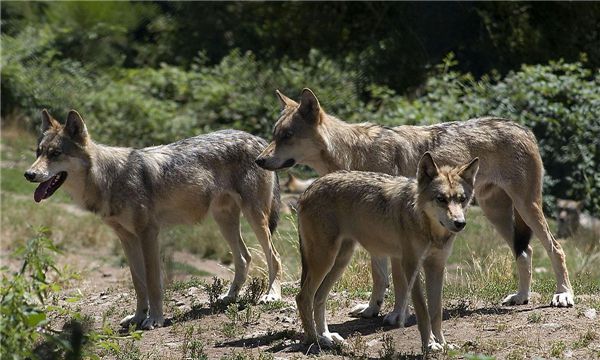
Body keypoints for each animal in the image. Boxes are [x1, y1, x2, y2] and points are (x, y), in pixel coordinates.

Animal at [24, 109, 282, 330]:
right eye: (38, 152)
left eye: (55, 154)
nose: (28, 174)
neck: (109, 180)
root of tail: (258, 139)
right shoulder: (127, 239)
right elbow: (138, 283)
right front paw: (138, 317)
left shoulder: (148, 234)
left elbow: (153, 282)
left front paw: (155, 319)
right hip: (224, 221)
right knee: (244, 257)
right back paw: (229, 297)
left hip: (254, 218)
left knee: (274, 257)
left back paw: (271, 295)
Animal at [255, 88, 576, 324]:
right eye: (274, 135)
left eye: (287, 136)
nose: (258, 160)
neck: (352, 156)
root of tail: (523, 127)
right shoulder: (374, 227)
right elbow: (379, 275)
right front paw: (372, 309)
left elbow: (397, 281)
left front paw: (397, 315)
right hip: (495, 212)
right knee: (526, 251)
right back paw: (521, 296)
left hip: (526, 207)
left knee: (556, 248)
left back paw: (563, 295)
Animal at [296, 153, 478, 352]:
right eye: (441, 199)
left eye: (462, 199)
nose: (460, 223)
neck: (429, 228)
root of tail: (309, 188)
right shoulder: (411, 266)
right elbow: (423, 311)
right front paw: (429, 344)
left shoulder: (437, 267)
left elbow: (436, 312)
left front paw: (443, 344)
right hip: (325, 261)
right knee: (303, 297)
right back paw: (315, 340)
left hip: (339, 262)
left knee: (319, 298)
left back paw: (327, 336)